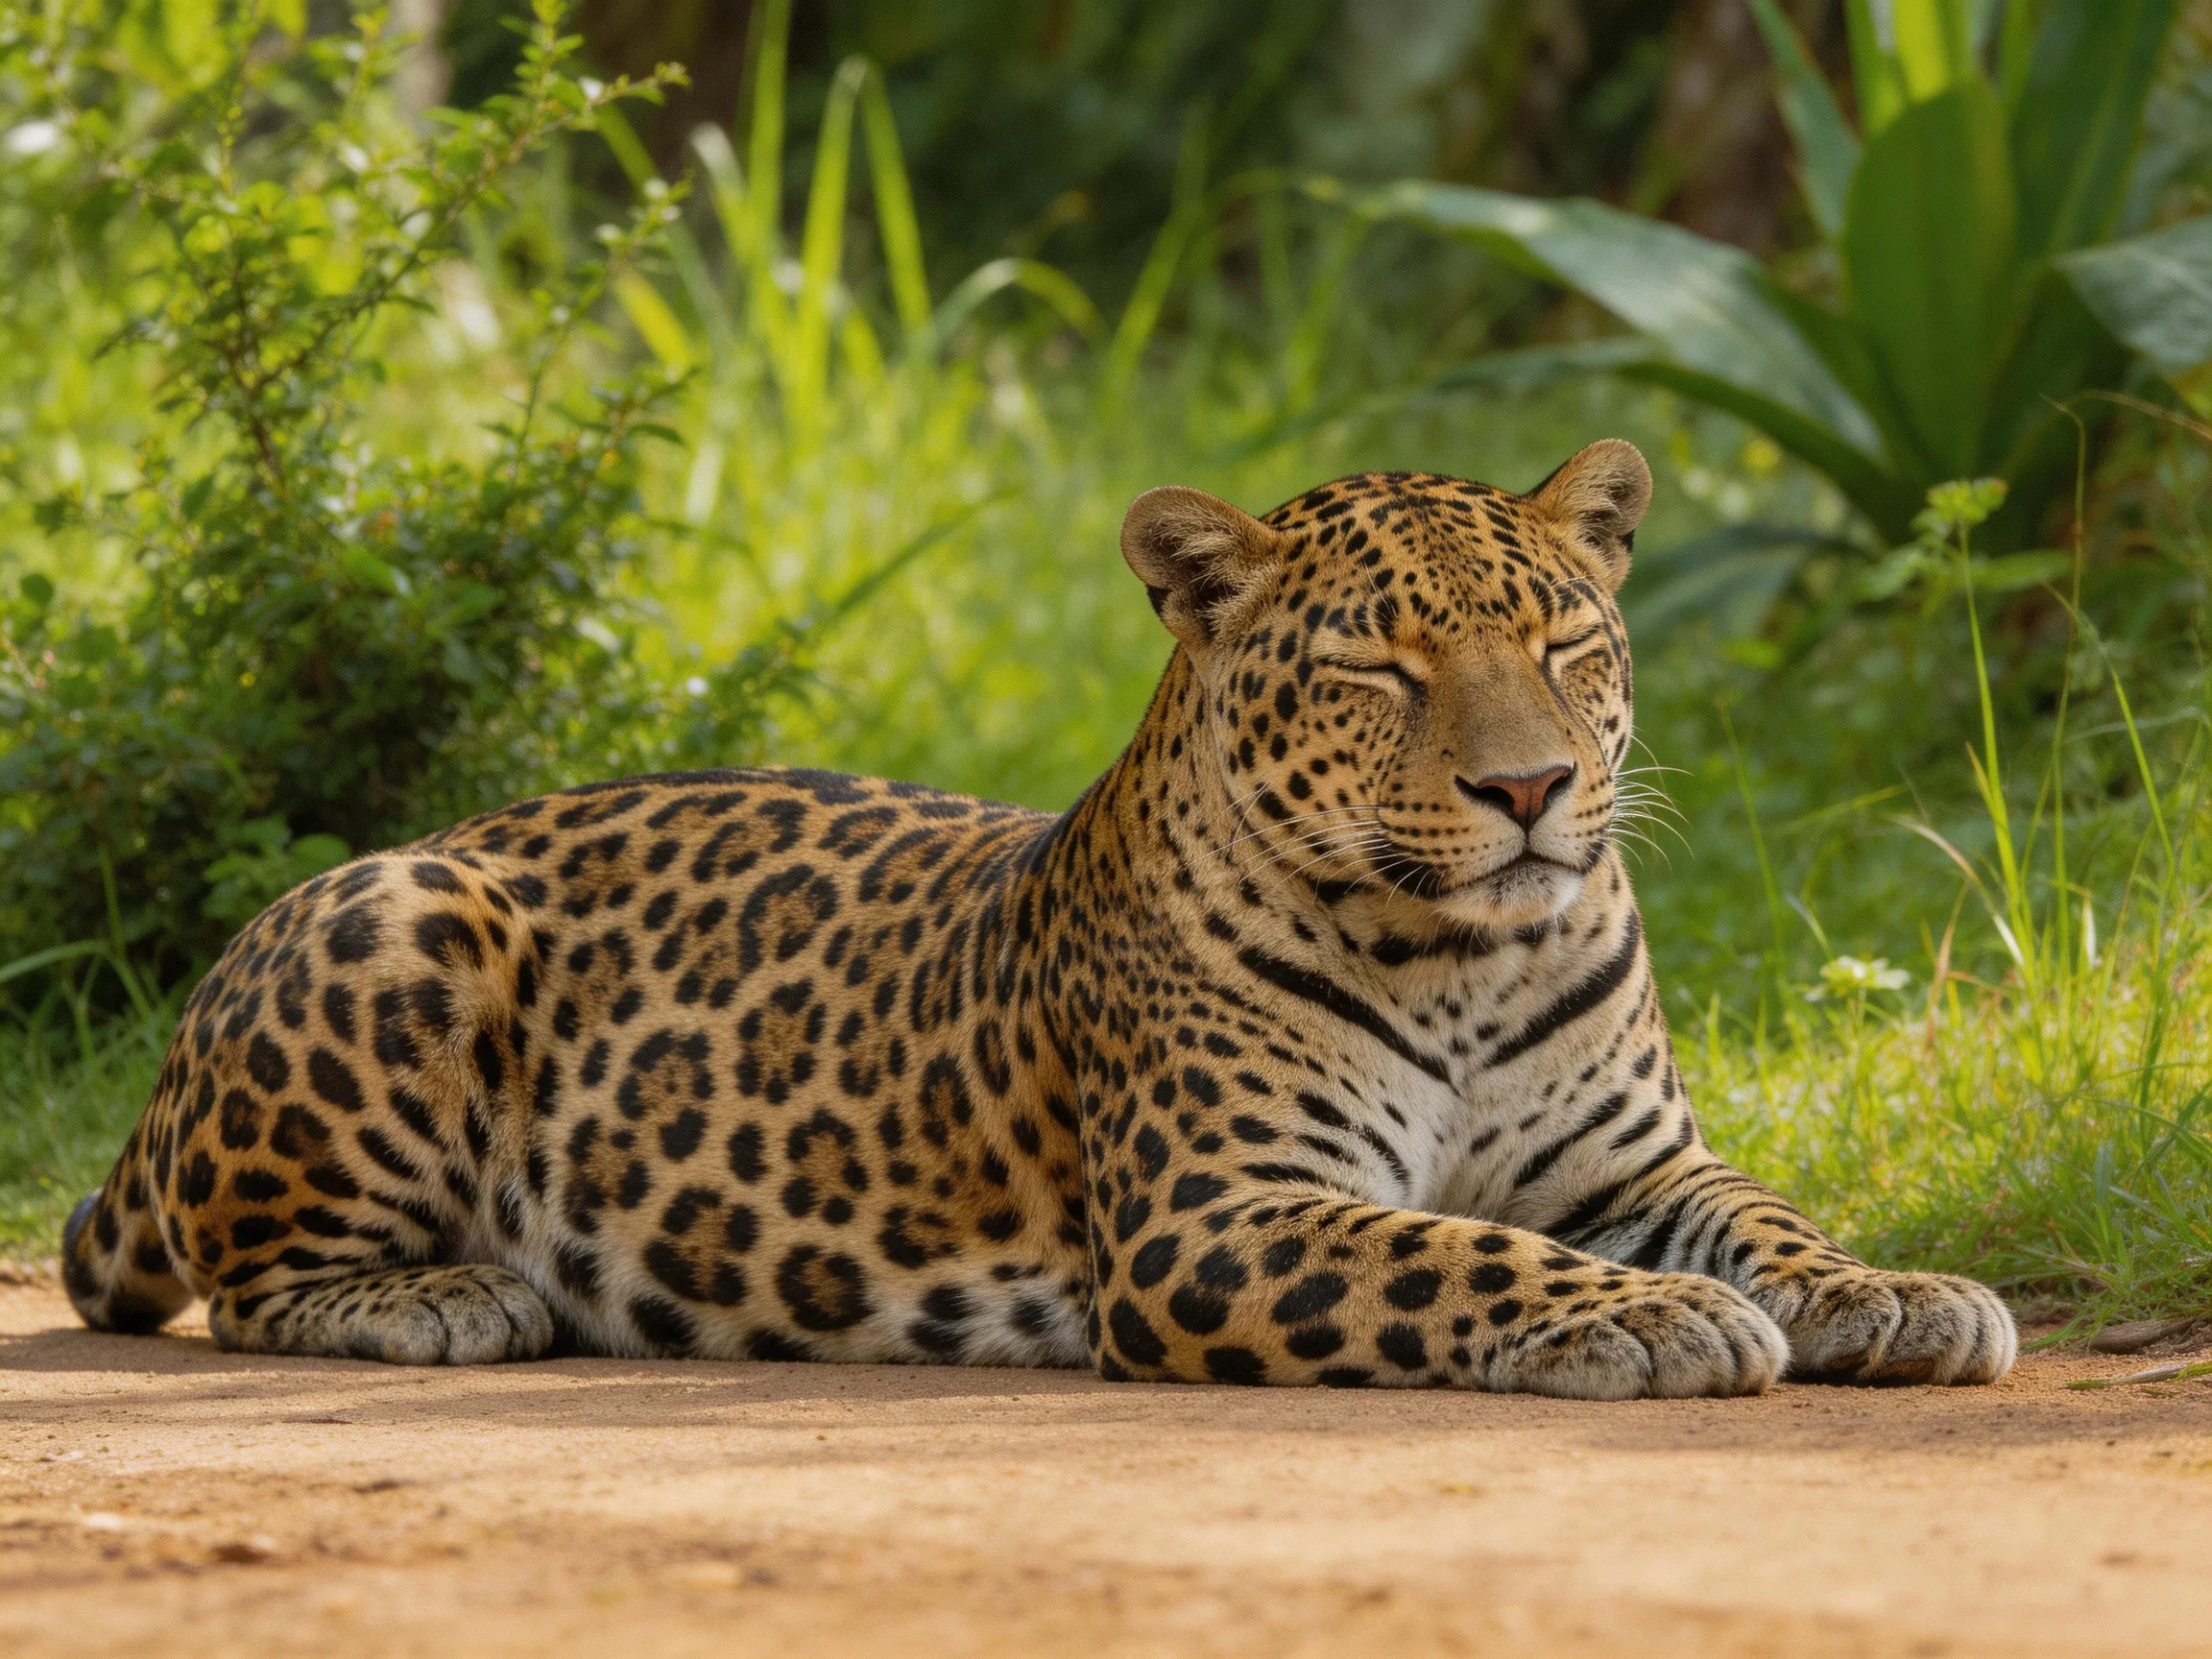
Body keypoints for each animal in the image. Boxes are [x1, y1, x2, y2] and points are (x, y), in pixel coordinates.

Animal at [62, 440, 2016, 1397]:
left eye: (1563, 643)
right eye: (1378, 670)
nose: (1529, 791)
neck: (1467, 955)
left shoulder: (1641, 1164)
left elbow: (1768, 1218)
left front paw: (1894, 1291)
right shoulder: (1214, 1216)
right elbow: (1456, 1250)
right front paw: (1651, 1319)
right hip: (398, 916)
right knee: (237, 1285)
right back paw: (455, 1296)